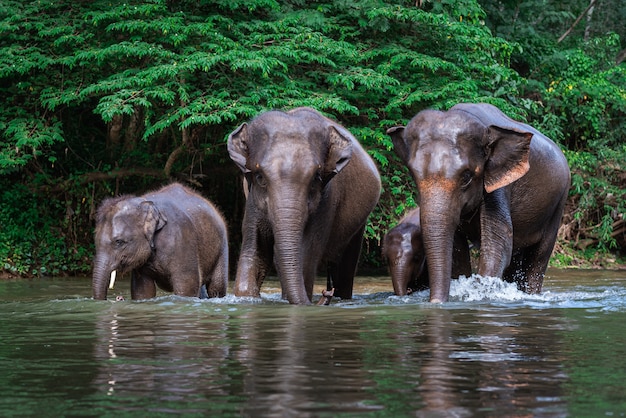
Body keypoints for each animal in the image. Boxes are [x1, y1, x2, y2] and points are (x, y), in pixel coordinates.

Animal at [91, 183, 228, 300]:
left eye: (119, 242)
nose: (117, 298)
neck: (144, 202)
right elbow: (142, 290)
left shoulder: (183, 240)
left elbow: (187, 287)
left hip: (222, 247)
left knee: (216, 288)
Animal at [227, 106, 378, 306]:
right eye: (260, 178)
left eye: (316, 179)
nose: (326, 293)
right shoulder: (252, 201)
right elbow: (255, 252)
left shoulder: (326, 201)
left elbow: (306, 257)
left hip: (358, 225)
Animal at [390, 103, 572, 302]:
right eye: (414, 176)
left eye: (467, 177)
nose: (435, 302)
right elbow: (458, 250)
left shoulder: (499, 183)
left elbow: (498, 243)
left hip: (559, 203)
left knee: (539, 256)